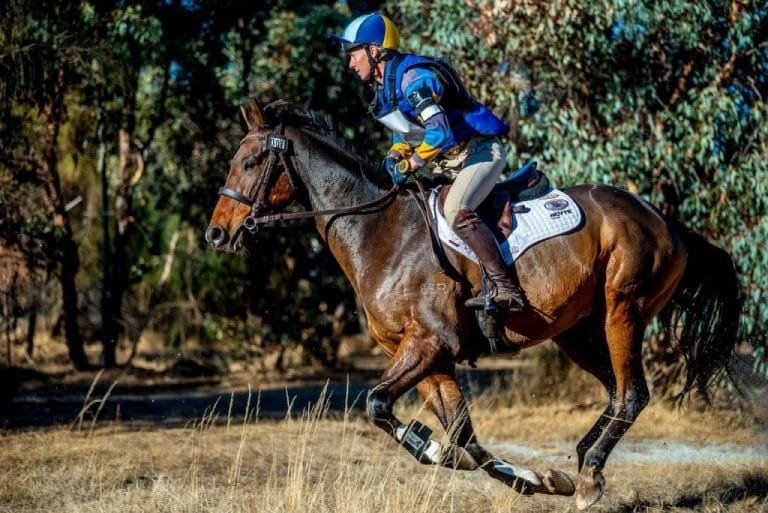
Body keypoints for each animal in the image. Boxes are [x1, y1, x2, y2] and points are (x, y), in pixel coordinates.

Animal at [205, 100, 741, 510]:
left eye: (249, 163)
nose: (216, 234)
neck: (380, 233)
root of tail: (665, 222)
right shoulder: (426, 357)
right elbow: (463, 436)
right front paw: (533, 478)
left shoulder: (428, 344)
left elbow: (379, 404)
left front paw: (431, 445)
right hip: (578, 333)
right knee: (615, 394)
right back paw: (582, 463)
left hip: (621, 313)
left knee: (631, 395)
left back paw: (589, 478)